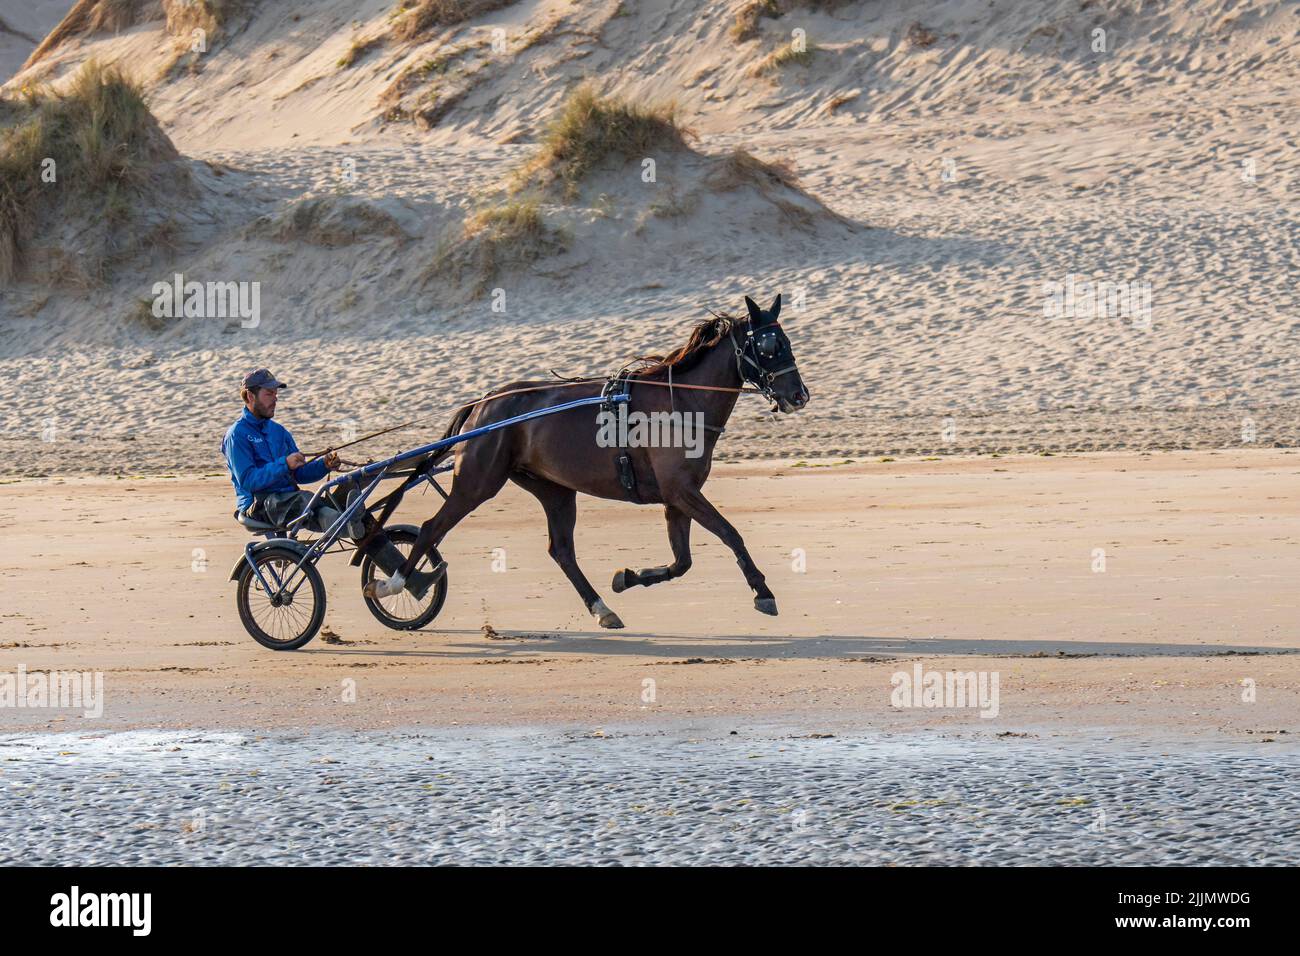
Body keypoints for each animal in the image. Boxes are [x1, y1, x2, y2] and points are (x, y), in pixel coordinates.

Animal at [363, 294, 810, 628]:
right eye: (769, 346)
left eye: (787, 341)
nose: (799, 395)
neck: (681, 402)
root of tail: (484, 402)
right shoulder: (681, 491)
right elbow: (731, 534)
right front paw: (763, 591)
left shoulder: (677, 497)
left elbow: (682, 561)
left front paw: (628, 578)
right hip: (477, 483)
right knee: (430, 528)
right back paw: (395, 584)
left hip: (554, 490)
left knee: (561, 550)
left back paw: (602, 608)